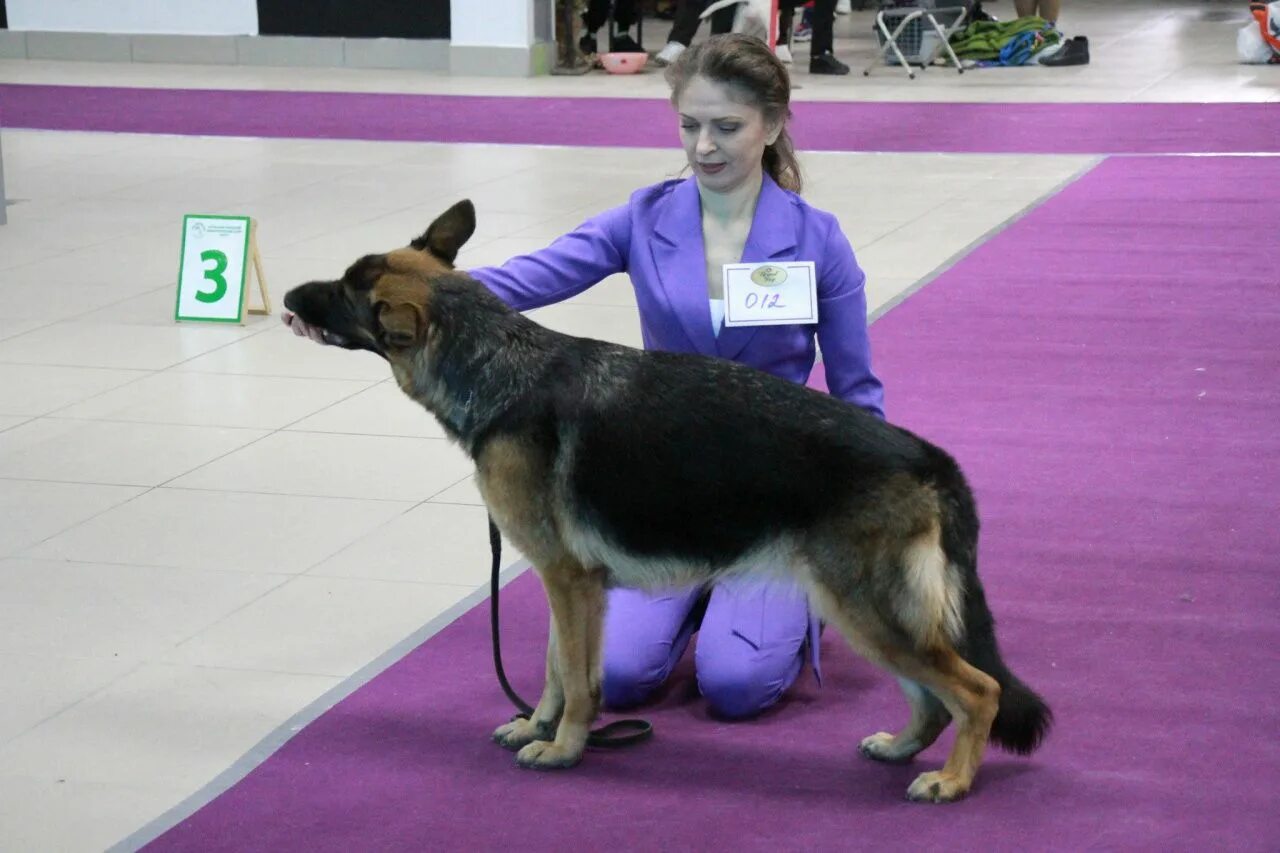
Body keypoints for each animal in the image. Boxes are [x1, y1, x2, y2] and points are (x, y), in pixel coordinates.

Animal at [288, 199, 1049, 799]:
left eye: (345, 291)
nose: (293, 298)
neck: (497, 364)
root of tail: (929, 457)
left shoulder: (568, 580)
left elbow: (577, 679)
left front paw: (563, 747)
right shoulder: (570, 584)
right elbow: (558, 668)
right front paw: (537, 723)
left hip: (864, 610)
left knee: (977, 691)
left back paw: (952, 780)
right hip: (870, 614)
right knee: (933, 696)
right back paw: (902, 747)